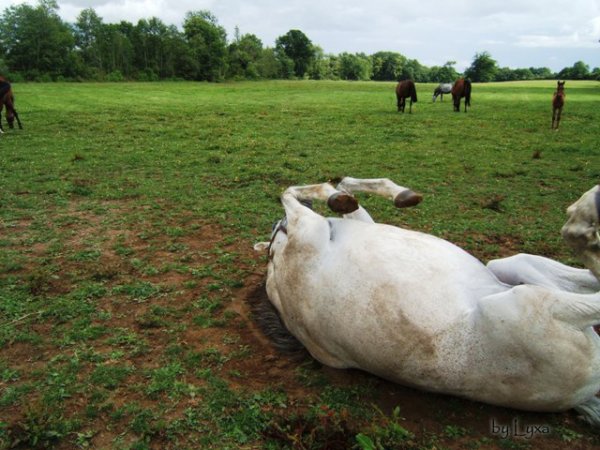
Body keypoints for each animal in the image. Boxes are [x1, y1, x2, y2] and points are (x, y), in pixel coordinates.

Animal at [255, 178, 600, 428]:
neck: (277, 257)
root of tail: (586, 391)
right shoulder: (309, 229)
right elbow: (291, 192)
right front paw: (336, 196)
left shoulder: (341, 226)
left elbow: (341, 193)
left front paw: (397, 196)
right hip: (525, 302)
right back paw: (584, 217)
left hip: (514, 268)